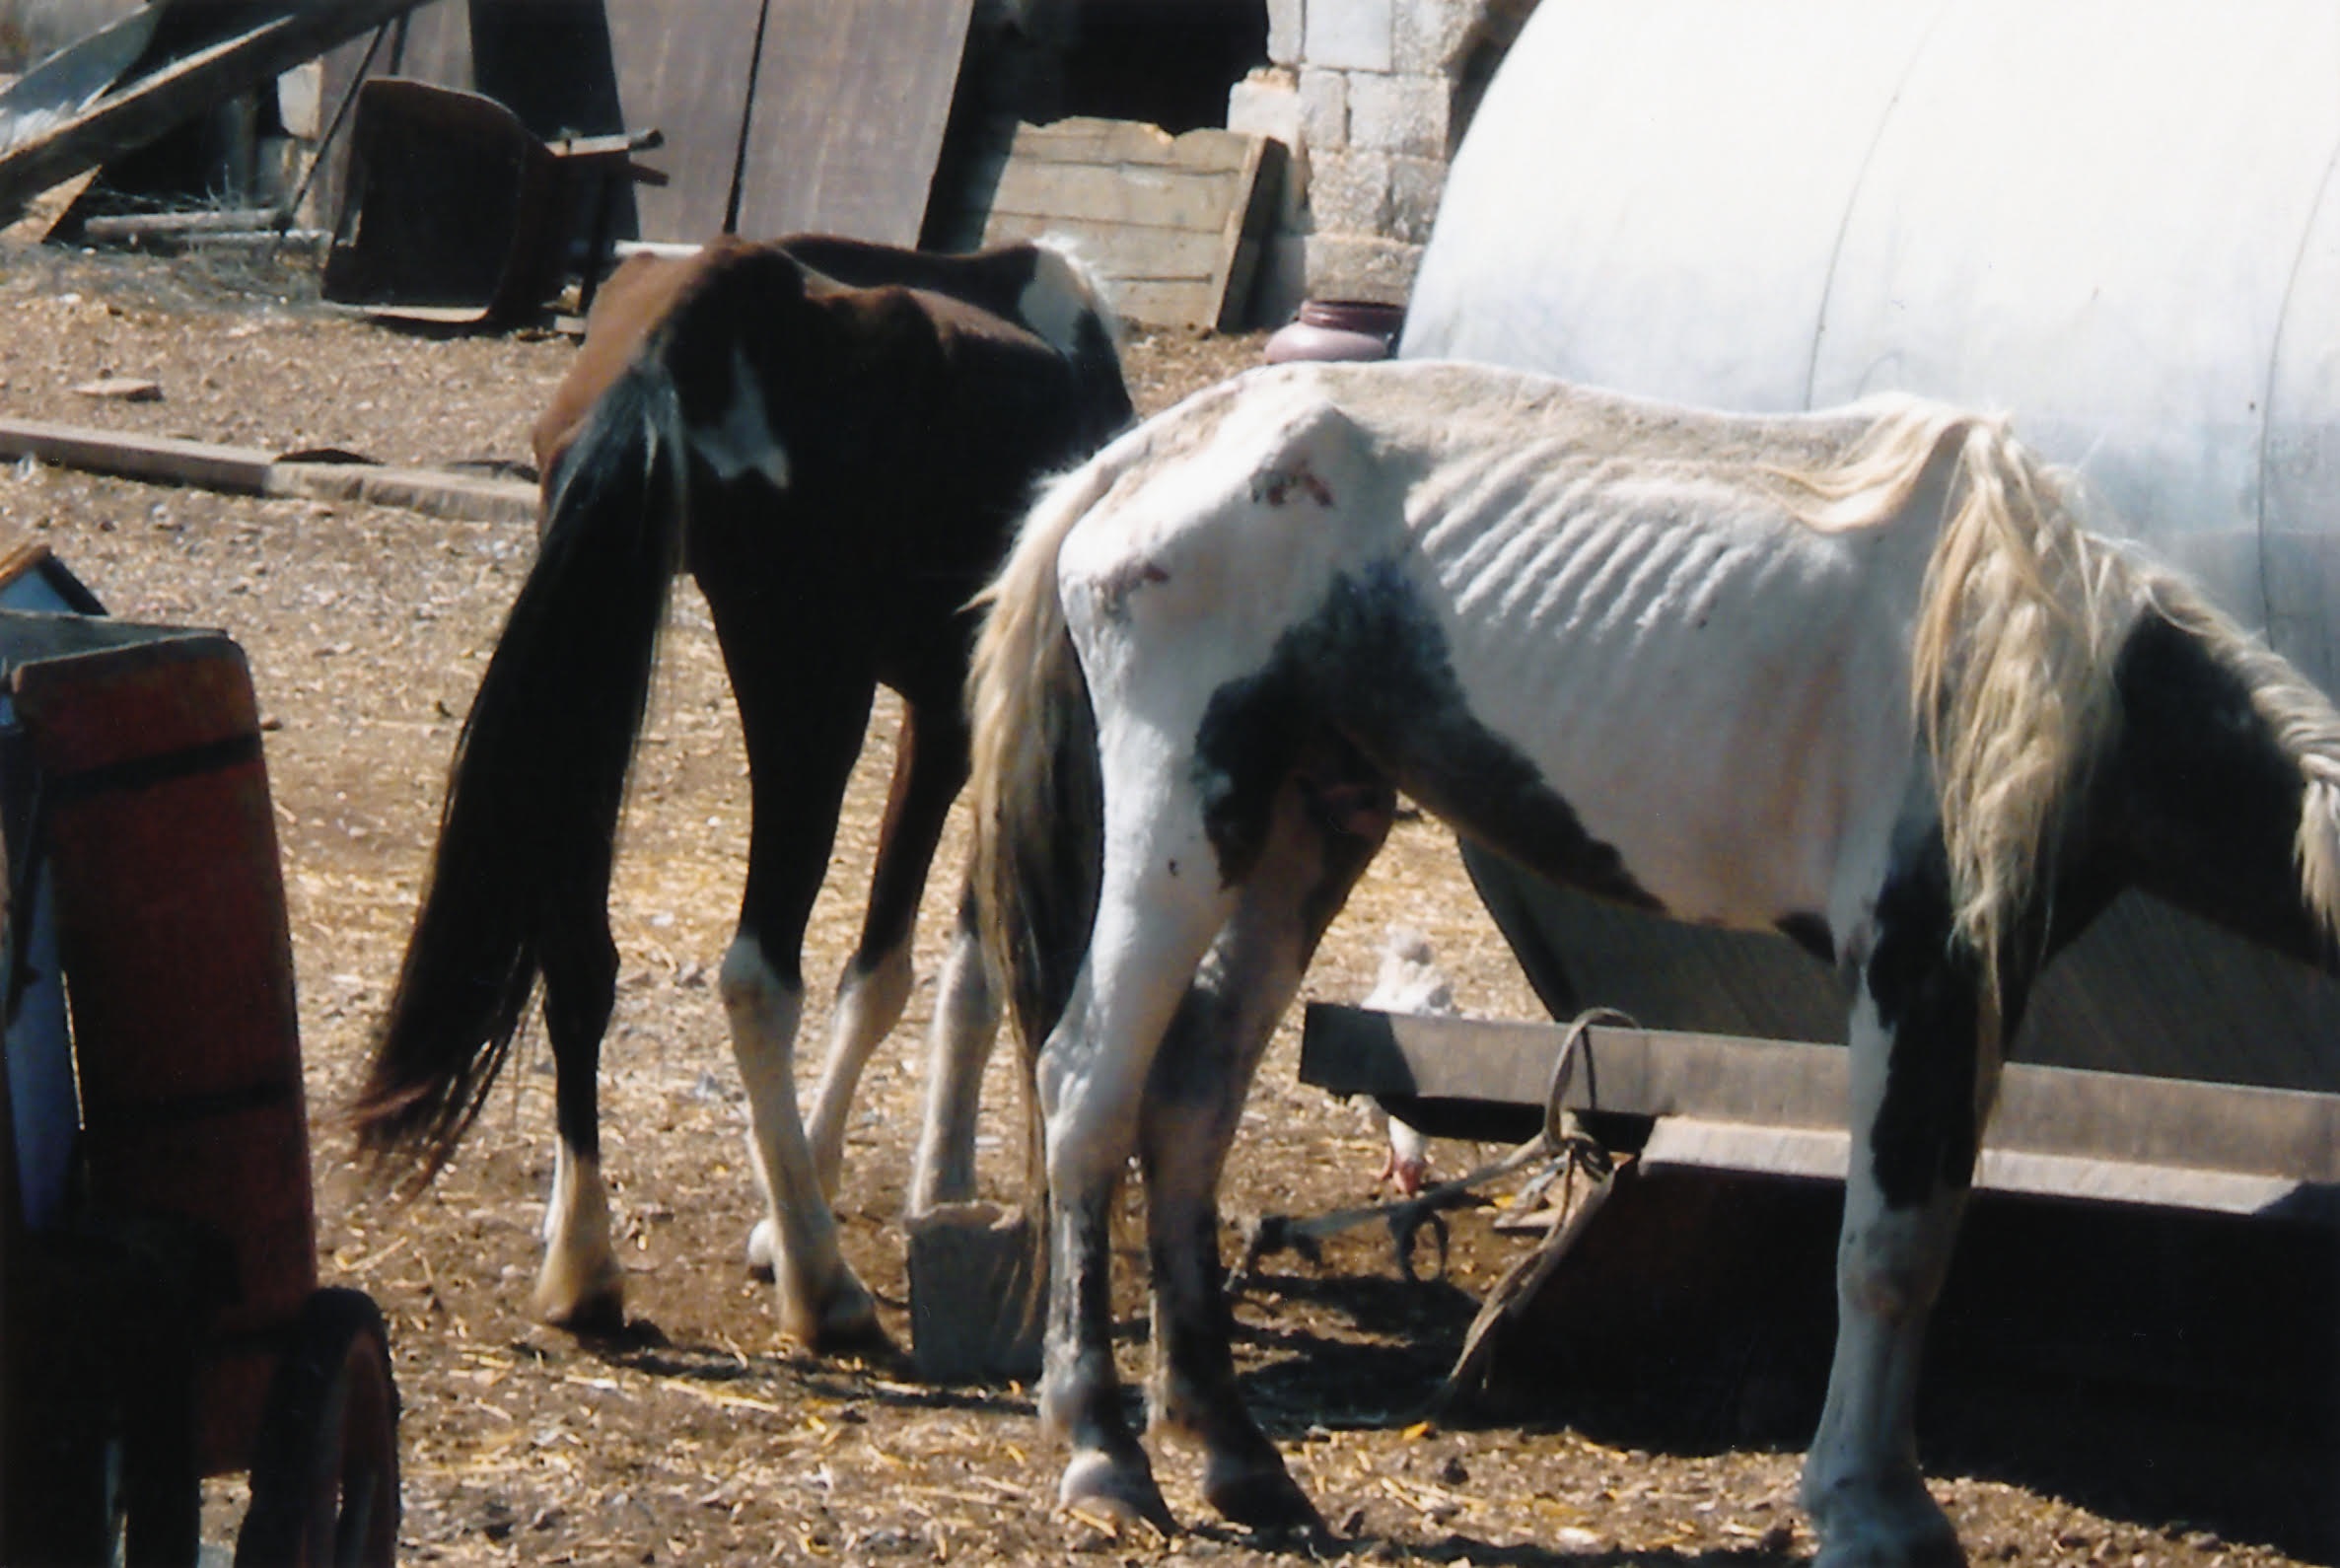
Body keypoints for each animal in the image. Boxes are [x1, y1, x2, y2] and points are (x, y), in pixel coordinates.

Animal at [348, 234, 1142, 1347]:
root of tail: (699, 312)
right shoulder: (958, 720)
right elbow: (931, 971)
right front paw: (903, 1190)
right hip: (808, 692)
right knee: (759, 977)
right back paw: (822, 1282)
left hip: (604, 663)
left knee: (577, 956)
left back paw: (581, 1264)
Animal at [963, 360, 2340, 1568]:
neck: (2035, 652)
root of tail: (1132, 461)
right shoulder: (1917, 967)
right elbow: (1889, 1253)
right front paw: (1872, 1509)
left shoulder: (1977, 991)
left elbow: (1929, 1236)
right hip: (1190, 823)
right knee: (1089, 1086)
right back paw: (1103, 1454)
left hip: (1309, 826)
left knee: (1191, 1101)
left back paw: (1239, 1458)